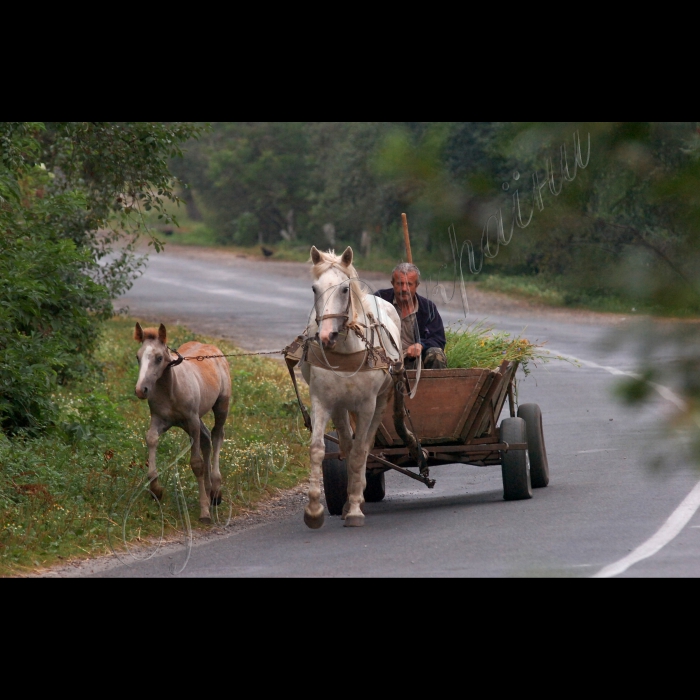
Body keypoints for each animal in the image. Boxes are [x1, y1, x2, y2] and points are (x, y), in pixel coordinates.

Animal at [300, 246, 400, 524]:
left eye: (345, 289)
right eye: (314, 288)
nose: (326, 336)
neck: (347, 352)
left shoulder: (367, 405)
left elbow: (358, 452)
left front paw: (355, 508)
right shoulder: (322, 401)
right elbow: (318, 448)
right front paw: (314, 510)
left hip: (380, 402)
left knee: (363, 447)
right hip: (341, 407)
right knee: (346, 443)